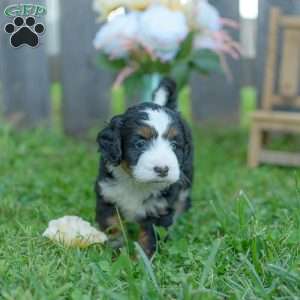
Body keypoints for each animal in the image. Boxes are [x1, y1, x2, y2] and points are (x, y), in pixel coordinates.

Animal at [96, 78, 195, 256]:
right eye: (140, 144)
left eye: (174, 145)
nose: (162, 169)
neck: (136, 183)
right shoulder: (107, 197)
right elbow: (113, 228)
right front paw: (116, 253)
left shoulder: (159, 209)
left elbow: (149, 239)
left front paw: (142, 260)